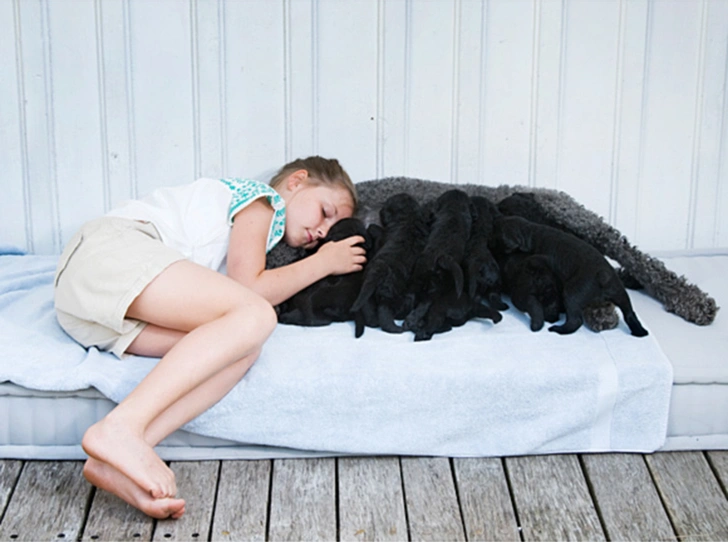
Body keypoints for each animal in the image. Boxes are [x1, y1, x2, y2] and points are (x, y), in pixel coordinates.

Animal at [494, 215, 648, 338]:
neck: (531, 231)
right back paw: (639, 332)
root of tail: (603, 278)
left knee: (575, 320)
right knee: (630, 313)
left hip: (572, 294)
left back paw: (558, 329)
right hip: (620, 293)